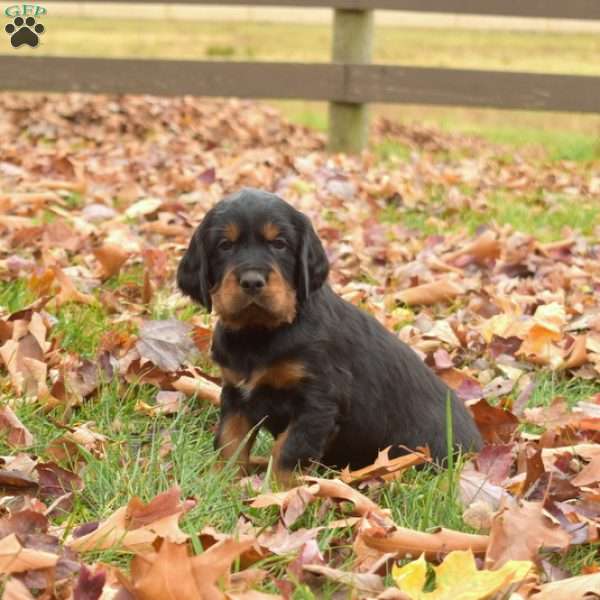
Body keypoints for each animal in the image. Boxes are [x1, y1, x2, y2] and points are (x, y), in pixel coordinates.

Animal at [178, 188, 482, 482]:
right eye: (224, 245)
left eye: (279, 244)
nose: (252, 281)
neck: (260, 334)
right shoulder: (236, 394)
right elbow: (230, 440)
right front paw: (219, 483)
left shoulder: (318, 401)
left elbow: (289, 451)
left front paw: (279, 492)